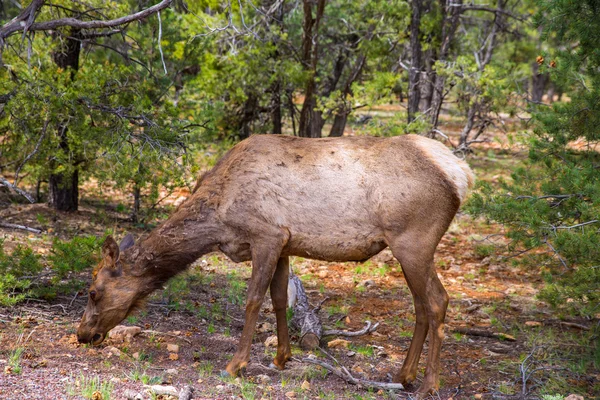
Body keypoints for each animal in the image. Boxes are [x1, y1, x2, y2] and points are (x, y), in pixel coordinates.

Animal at [78, 133, 474, 396]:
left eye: (94, 291)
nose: (83, 335)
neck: (218, 219)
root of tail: (461, 174)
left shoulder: (266, 234)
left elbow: (254, 300)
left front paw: (235, 364)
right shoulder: (285, 243)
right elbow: (280, 300)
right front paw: (282, 358)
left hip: (413, 241)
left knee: (438, 301)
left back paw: (428, 384)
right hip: (409, 249)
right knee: (421, 306)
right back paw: (405, 375)